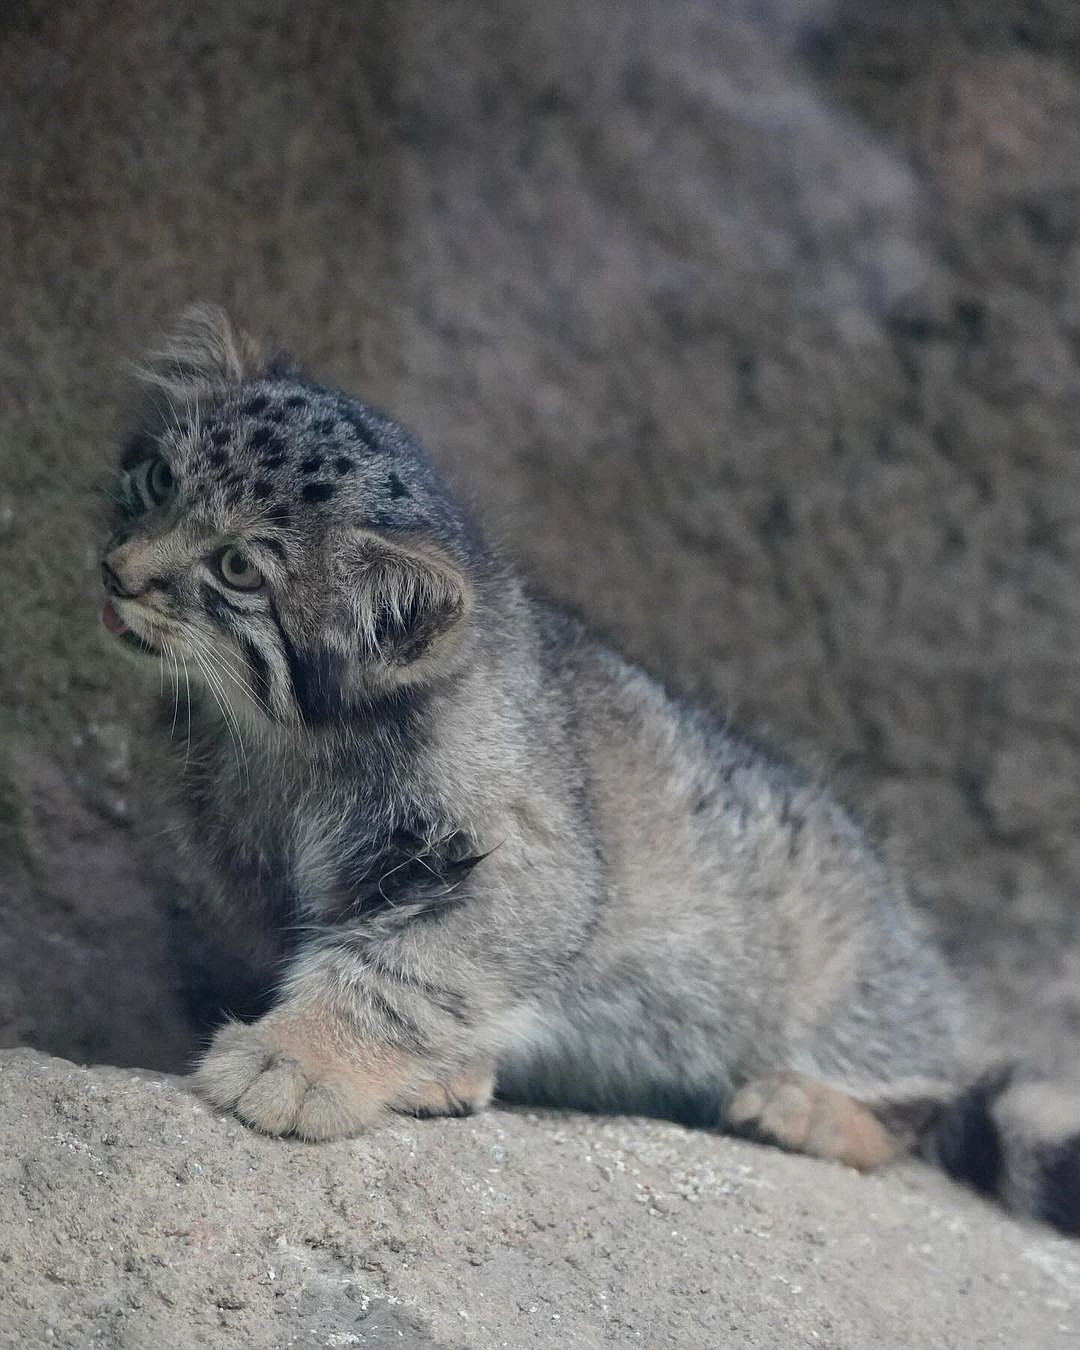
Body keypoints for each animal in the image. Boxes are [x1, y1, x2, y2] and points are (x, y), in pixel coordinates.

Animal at [99, 309, 1069, 1236]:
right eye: (158, 481)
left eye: (236, 568)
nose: (117, 573)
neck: (283, 747)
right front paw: (434, 1070)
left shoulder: (519, 869)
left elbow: (403, 976)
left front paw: (298, 1059)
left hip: (860, 998)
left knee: (923, 1112)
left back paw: (810, 1108)